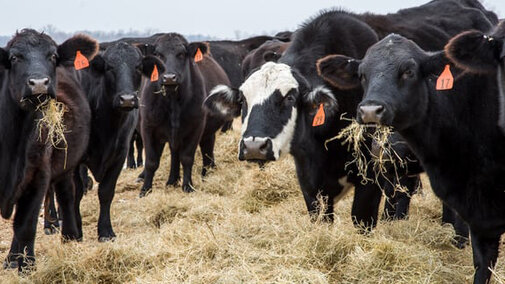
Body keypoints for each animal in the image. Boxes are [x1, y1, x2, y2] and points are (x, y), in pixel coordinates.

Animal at [0, 29, 95, 270]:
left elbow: (25, 225)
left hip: (65, 168)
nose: (39, 83)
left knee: (67, 196)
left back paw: (70, 236)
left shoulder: (38, 175)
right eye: (14, 58)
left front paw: (27, 267)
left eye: (53, 56)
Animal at [139, 33, 231, 196]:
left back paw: (206, 174)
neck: (173, 102)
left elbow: (187, 158)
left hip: (206, 132)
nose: (169, 77)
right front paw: (145, 190)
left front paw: (188, 186)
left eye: (181, 54)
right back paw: (172, 180)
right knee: (174, 153)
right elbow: (151, 161)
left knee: (207, 149)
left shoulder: (196, 128)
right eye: (158, 54)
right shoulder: (148, 127)